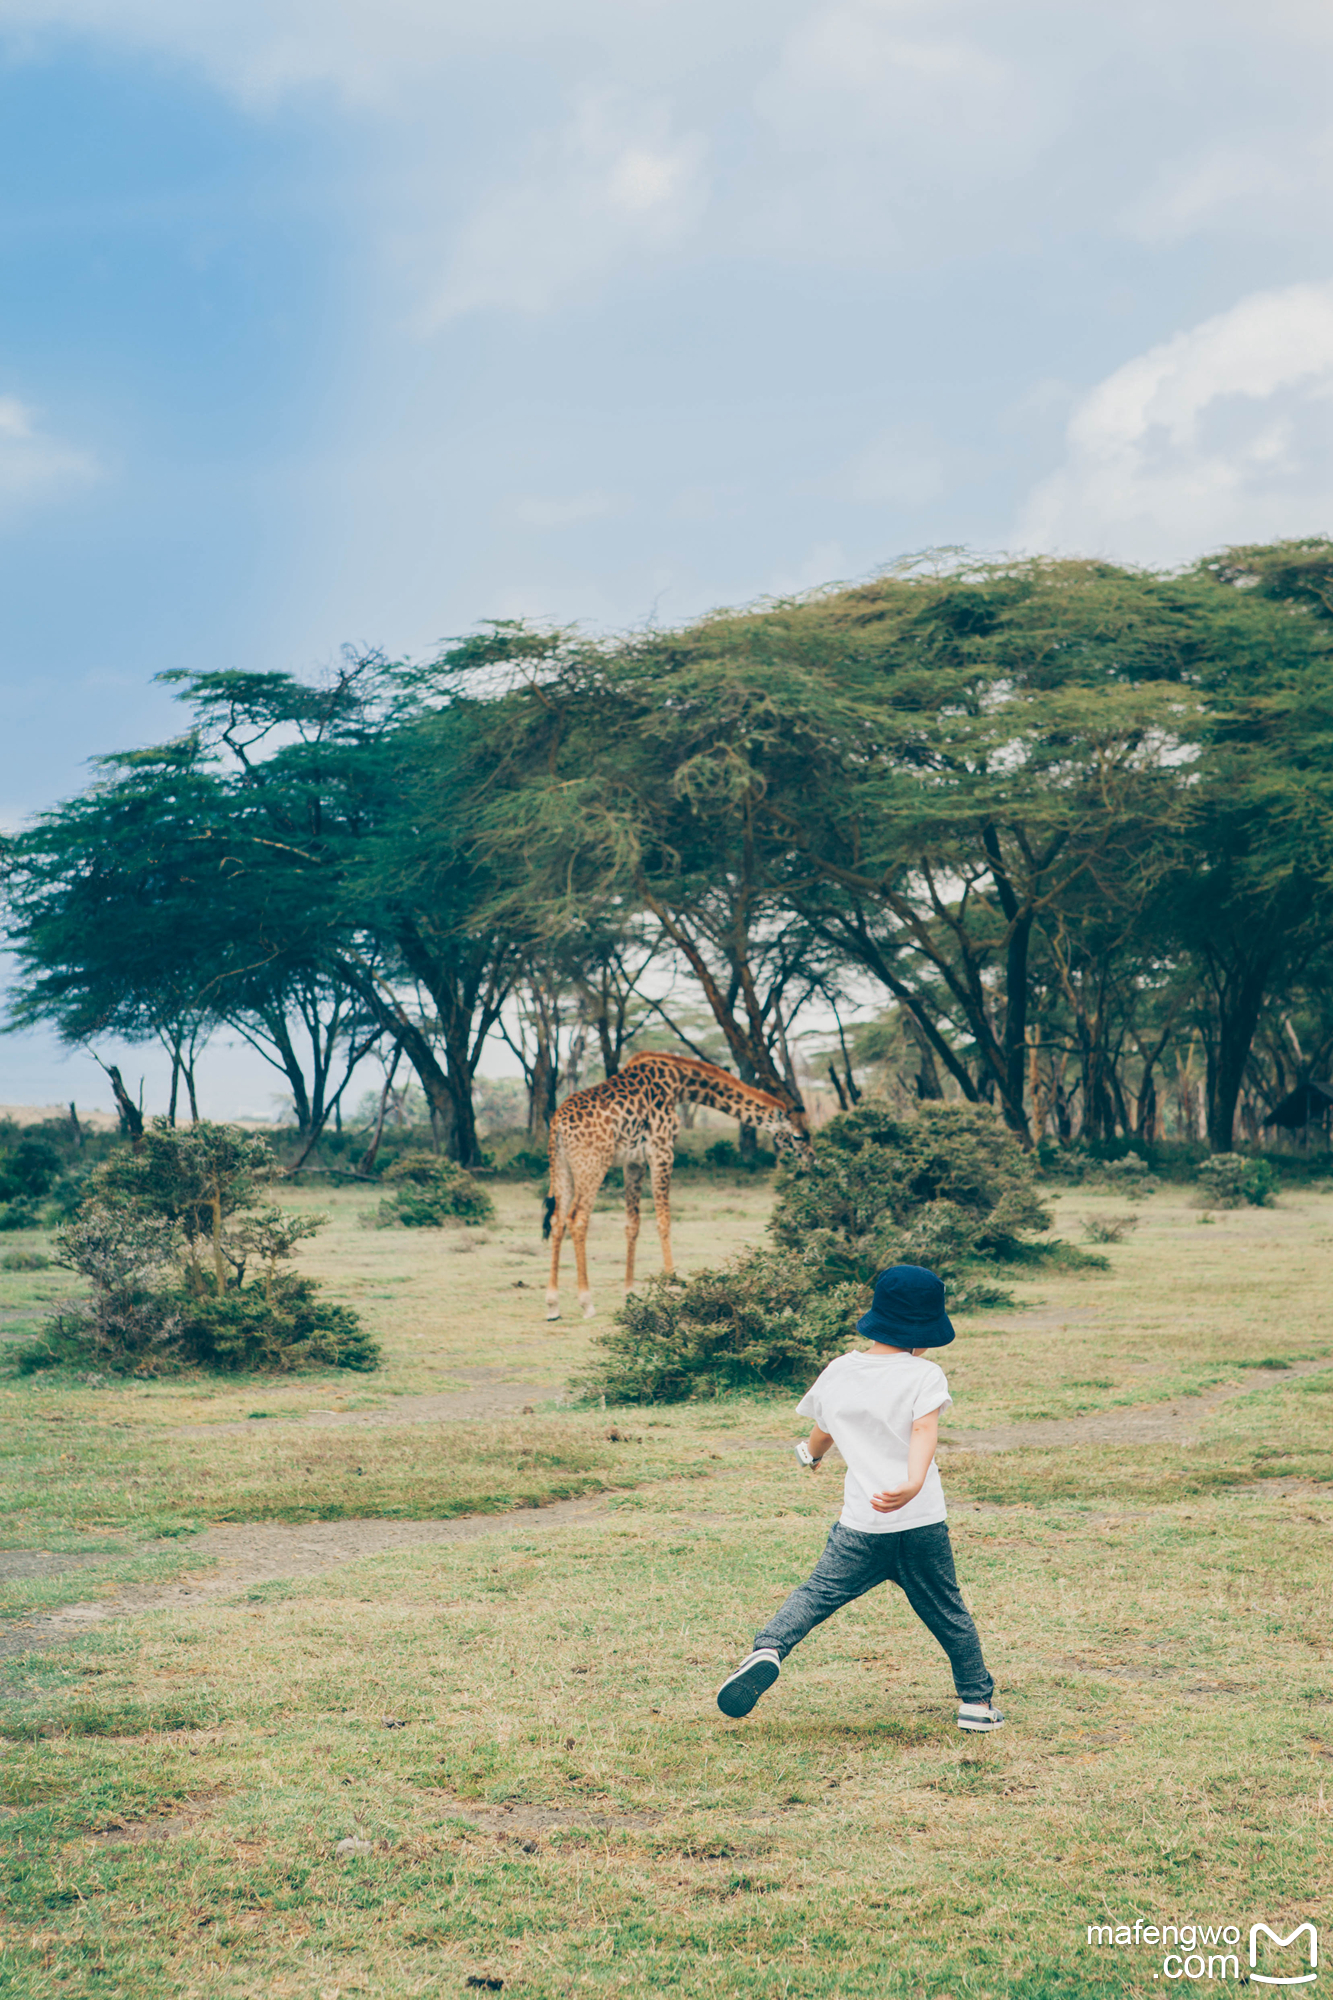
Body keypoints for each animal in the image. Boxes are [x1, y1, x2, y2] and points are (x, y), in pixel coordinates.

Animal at [536, 1056, 808, 1320]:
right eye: (798, 1137)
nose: (811, 1160)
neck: (679, 1084)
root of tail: (557, 1124)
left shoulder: (634, 1161)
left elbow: (632, 1224)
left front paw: (630, 1293)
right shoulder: (662, 1151)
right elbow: (663, 1220)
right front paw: (673, 1288)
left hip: (560, 1164)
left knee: (558, 1220)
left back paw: (552, 1304)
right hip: (592, 1163)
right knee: (577, 1218)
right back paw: (586, 1302)